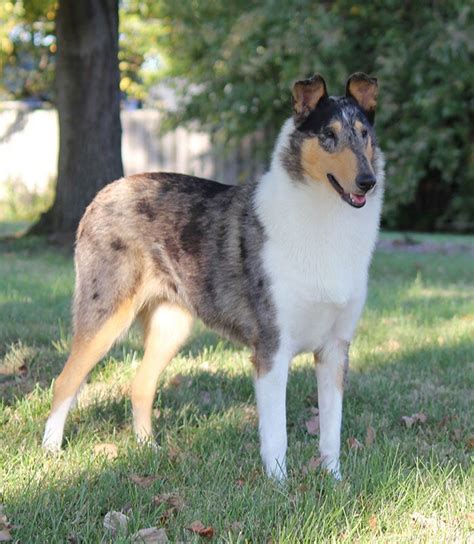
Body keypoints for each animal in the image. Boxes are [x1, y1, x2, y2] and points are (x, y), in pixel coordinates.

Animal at [43, 71, 386, 480]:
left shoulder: (334, 349)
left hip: (172, 326)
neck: (325, 220)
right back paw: (51, 454)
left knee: (140, 386)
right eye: (328, 135)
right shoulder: (272, 350)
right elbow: (276, 434)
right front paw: (279, 487)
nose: (367, 181)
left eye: (364, 134)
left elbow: (331, 430)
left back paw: (150, 451)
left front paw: (335, 482)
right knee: (65, 381)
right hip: (105, 317)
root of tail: (106, 191)